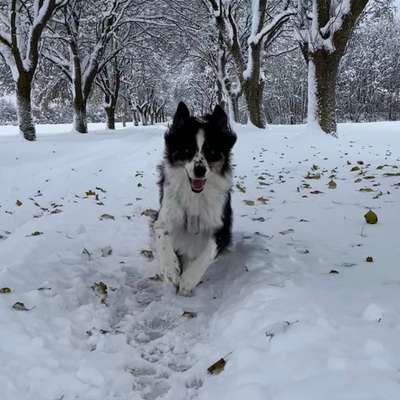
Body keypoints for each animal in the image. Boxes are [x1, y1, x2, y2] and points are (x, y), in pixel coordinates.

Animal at [152, 101, 234, 296]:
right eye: (187, 150)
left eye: (212, 151)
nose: (200, 170)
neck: (195, 195)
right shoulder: (164, 217)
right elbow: (162, 236)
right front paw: (171, 269)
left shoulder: (222, 226)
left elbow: (208, 251)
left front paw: (189, 279)